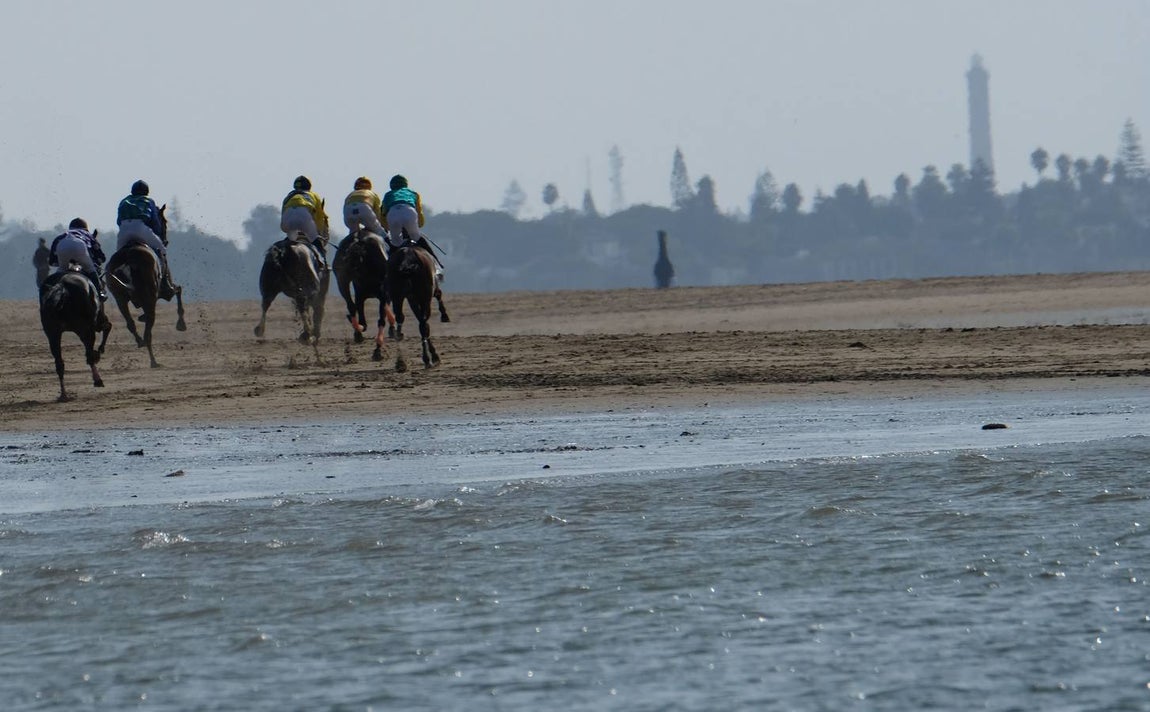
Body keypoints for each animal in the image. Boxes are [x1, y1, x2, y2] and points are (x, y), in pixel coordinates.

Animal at [39, 267, 112, 402]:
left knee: (59, 363)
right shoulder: (96, 324)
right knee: (89, 353)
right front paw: (99, 351)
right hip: (85, 329)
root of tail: (61, 286)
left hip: (53, 334)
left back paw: (64, 394)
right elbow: (107, 327)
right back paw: (98, 380)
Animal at [105, 204, 187, 368]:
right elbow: (178, 289)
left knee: (130, 323)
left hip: (119, 297)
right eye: (164, 221)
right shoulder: (164, 291)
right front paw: (181, 324)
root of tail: (128, 258)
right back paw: (153, 361)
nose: (165, 241)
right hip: (149, 295)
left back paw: (140, 342)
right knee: (148, 329)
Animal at [332, 230, 395, 360]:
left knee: (351, 306)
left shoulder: (362, 294)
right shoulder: (382, 295)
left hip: (342, 279)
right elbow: (382, 318)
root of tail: (358, 239)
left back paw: (357, 329)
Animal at [386, 240, 445, 371]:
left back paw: (400, 362)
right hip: (425, 296)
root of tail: (406, 258)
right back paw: (428, 359)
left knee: (400, 318)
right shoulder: (424, 296)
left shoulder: (411, 299)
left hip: (397, 296)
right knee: (423, 323)